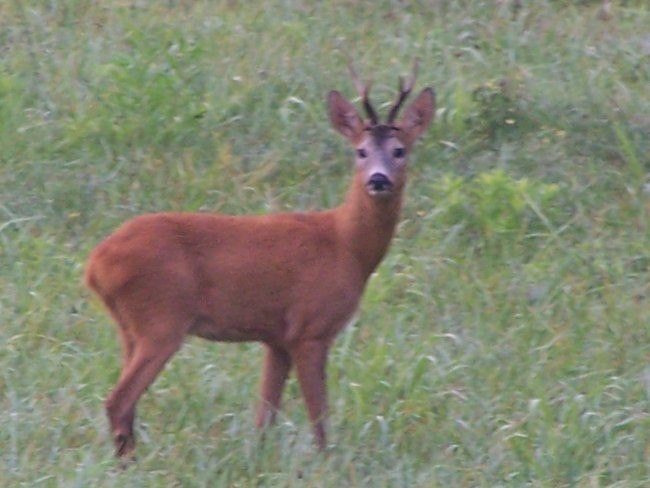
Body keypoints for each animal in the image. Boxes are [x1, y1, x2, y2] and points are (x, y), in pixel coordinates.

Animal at [83, 63, 432, 458]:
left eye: (400, 150)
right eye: (360, 151)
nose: (378, 179)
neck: (346, 245)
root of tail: (95, 263)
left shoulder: (276, 337)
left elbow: (265, 415)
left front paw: (258, 460)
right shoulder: (310, 328)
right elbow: (319, 417)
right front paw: (327, 461)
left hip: (129, 327)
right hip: (161, 319)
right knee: (119, 401)